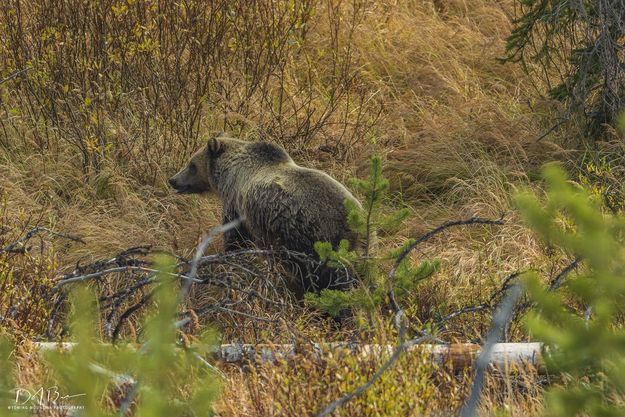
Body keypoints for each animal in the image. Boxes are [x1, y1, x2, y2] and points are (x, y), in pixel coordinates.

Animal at [167, 135, 360, 294]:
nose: (173, 180)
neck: (228, 174)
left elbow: (236, 238)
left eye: (191, 165)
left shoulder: (236, 205)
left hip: (308, 240)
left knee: (320, 276)